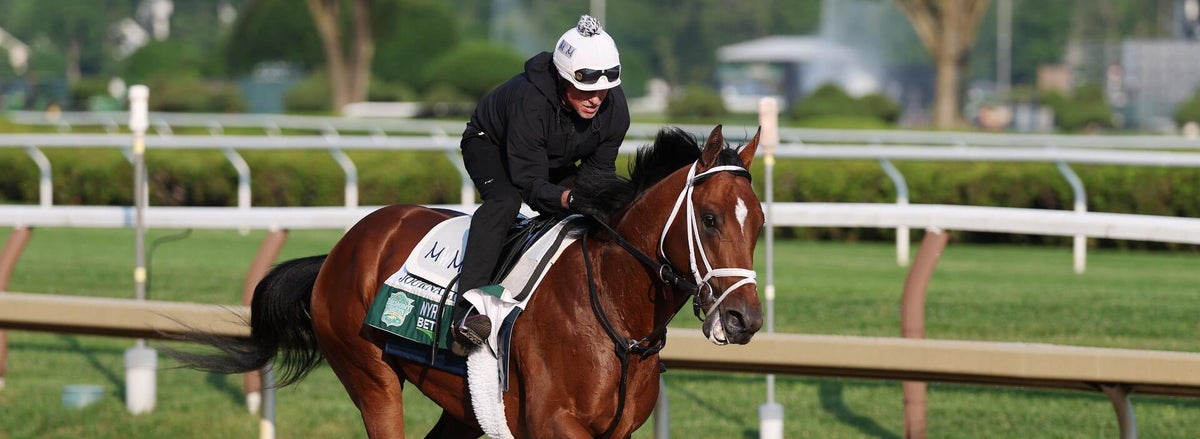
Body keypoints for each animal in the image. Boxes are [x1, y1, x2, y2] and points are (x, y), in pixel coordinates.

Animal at [171, 124, 765, 438]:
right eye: (709, 218)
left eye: (759, 222)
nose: (745, 320)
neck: (615, 317)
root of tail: (343, 247)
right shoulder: (555, 424)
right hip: (370, 376)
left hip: (463, 403)